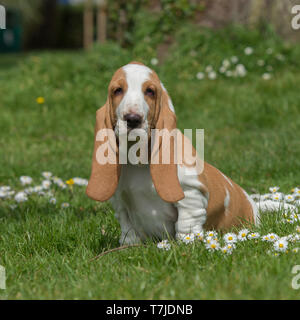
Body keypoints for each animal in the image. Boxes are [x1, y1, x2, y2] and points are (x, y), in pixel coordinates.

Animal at [85, 61, 258, 244]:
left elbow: (186, 224)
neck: (139, 158)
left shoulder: (191, 195)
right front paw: (128, 246)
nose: (132, 119)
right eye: (117, 90)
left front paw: (186, 244)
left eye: (150, 91)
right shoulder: (120, 203)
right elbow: (128, 229)